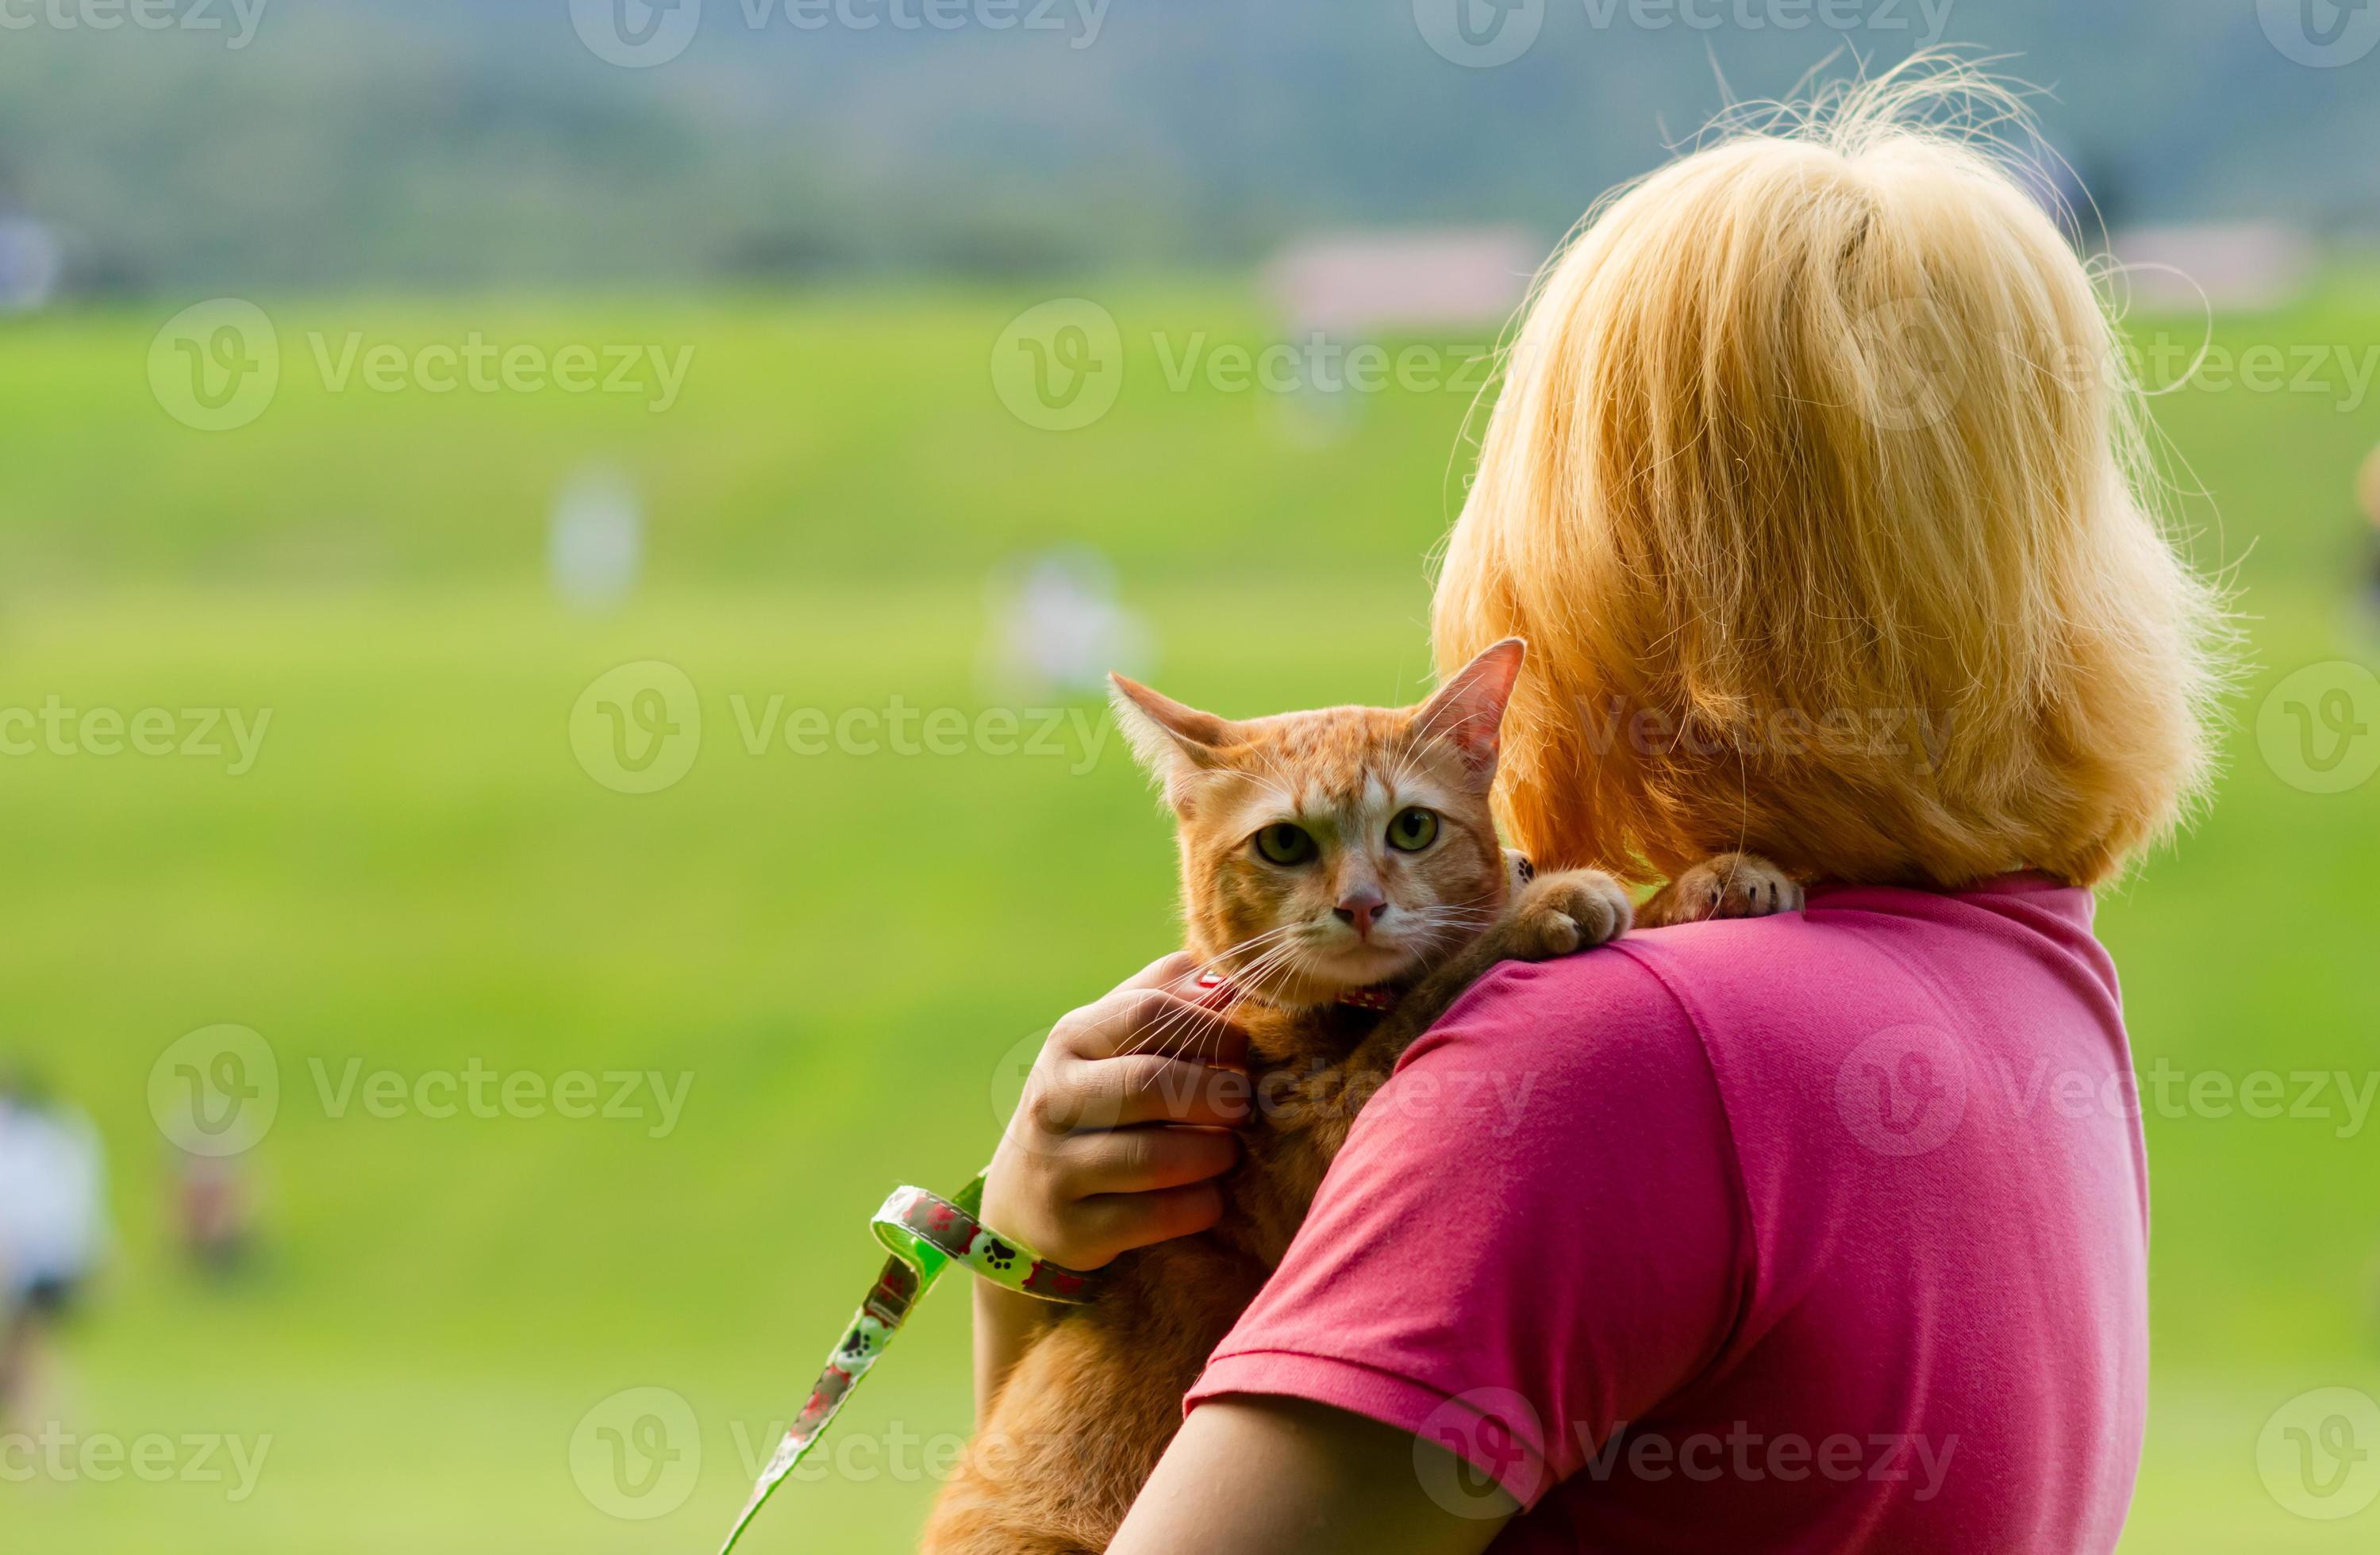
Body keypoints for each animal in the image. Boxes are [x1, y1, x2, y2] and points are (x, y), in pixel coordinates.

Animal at [918, 642, 1790, 1550]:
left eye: (1412, 827)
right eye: (1282, 843)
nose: (1361, 904)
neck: (1347, 1007)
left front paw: (1712, 879)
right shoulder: (1309, 1157)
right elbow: (1439, 985)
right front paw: (1544, 904)